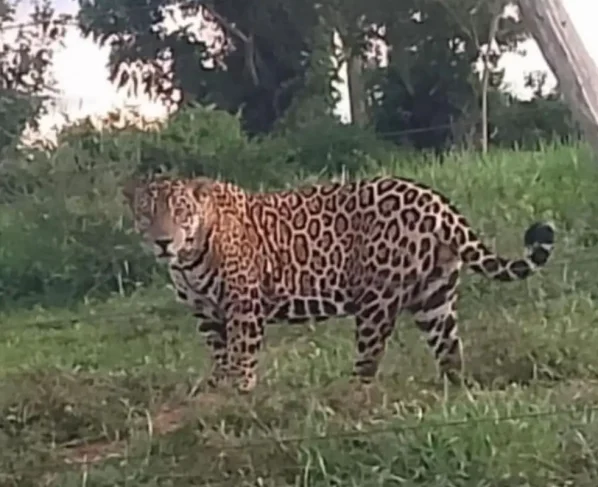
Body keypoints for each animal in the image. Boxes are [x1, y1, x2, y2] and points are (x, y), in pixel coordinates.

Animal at [122, 174, 555, 394]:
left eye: (180, 212)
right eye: (147, 213)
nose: (163, 241)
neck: (189, 258)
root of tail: (436, 201)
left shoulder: (243, 304)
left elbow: (242, 350)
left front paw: (241, 390)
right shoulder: (206, 312)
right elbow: (217, 351)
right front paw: (217, 385)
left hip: (376, 299)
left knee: (370, 355)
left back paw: (348, 393)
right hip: (434, 295)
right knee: (448, 346)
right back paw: (452, 387)